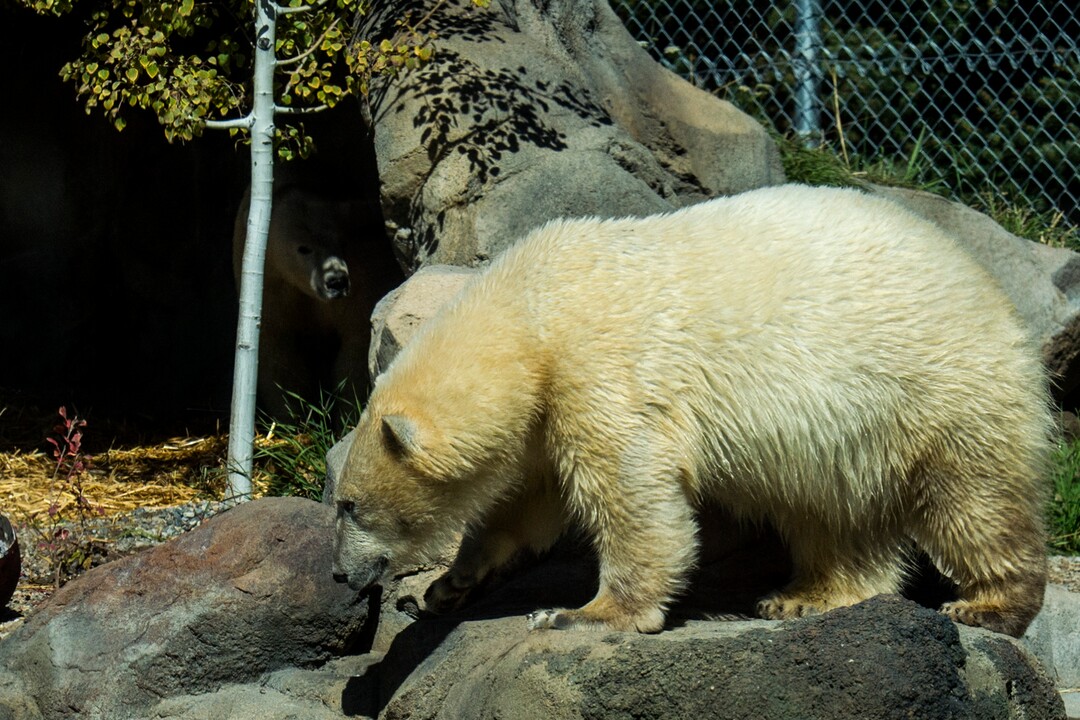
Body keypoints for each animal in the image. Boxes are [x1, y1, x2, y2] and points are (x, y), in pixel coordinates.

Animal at [232, 182, 401, 419]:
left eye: (340, 240)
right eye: (303, 248)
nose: (337, 281)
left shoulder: (360, 281)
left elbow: (355, 351)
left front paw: (348, 413)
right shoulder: (272, 286)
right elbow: (278, 352)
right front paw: (295, 416)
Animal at [330, 183, 1052, 637]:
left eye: (349, 505)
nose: (338, 572)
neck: (528, 313)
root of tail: (988, 287)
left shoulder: (599, 367)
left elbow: (629, 490)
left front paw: (580, 613)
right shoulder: (545, 408)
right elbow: (525, 502)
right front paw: (449, 585)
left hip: (938, 385)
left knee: (971, 498)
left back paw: (988, 606)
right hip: (847, 436)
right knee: (832, 514)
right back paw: (805, 596)